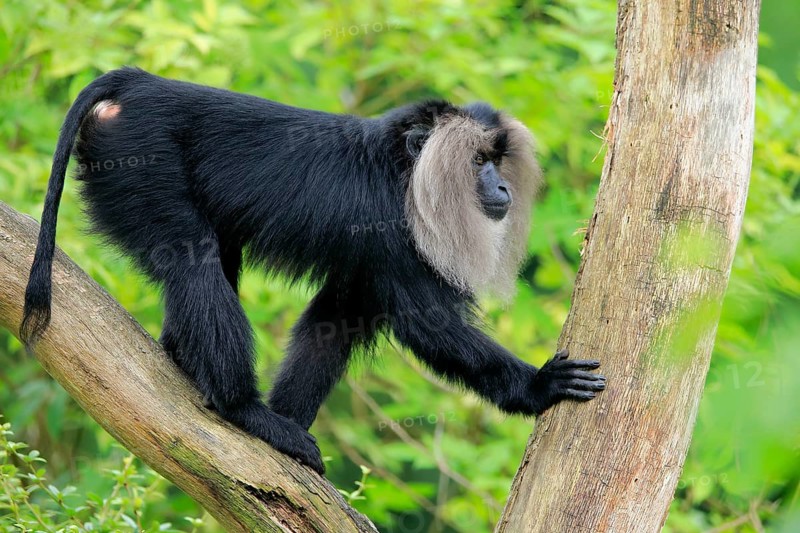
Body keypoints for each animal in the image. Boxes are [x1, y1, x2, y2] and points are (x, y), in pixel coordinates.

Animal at [21, 67, 605, 475]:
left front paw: (292, 421)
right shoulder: (391, 224)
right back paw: (241, 409)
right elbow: (425, 322)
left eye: (497, 161)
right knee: (194, 261)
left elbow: (337, 321)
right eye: (478, 162)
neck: (405, 169)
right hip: (138, 160)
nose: (501, 186)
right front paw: (538, 386)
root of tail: (140, 84)